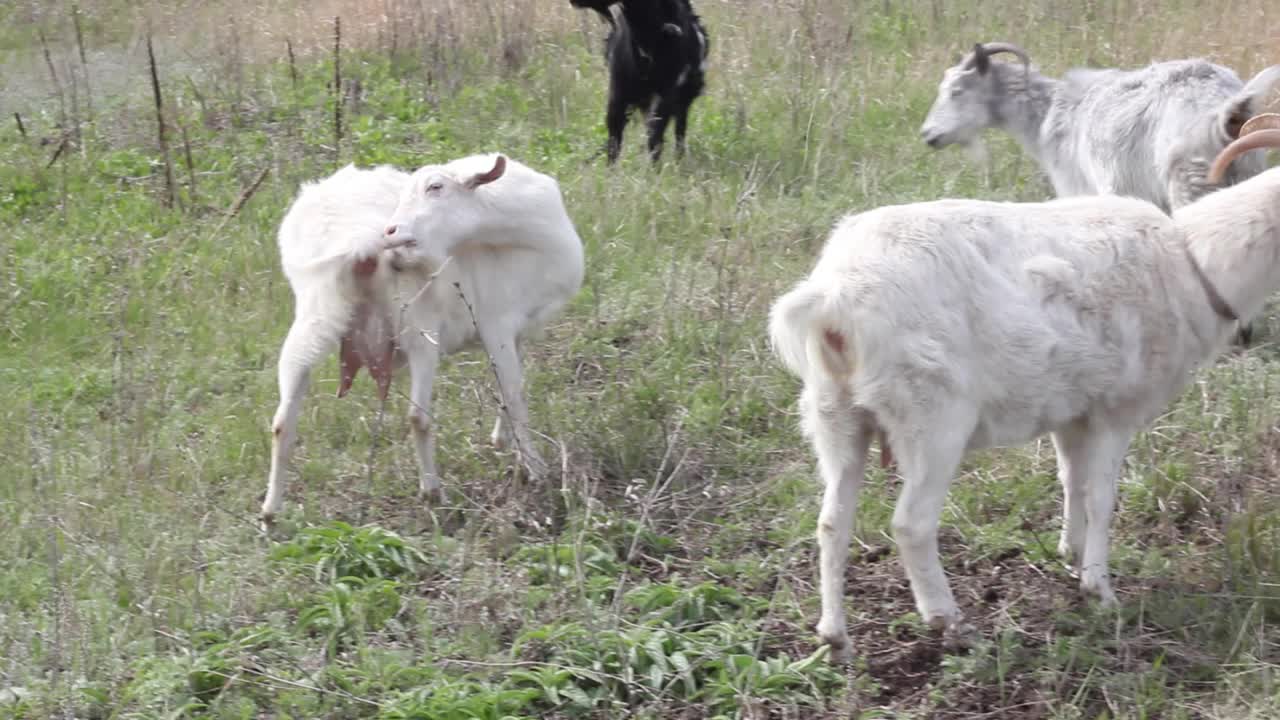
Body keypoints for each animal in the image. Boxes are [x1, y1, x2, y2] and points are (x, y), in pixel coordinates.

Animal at [264, 152, 586, 520]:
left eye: (435, 187)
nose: (391, 232)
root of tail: (358, 244)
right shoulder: (497, 324)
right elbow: (514, 393)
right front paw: (534, 468)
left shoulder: (513, 332)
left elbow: (506, 391)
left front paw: (501, 440)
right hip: (417, 328)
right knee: (418, 416)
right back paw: (433, 493)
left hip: (313, 317)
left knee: (282, 422)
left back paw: (270, 513)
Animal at [762, 110, 1280, 661]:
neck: (1193, 263)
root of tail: (834, 299)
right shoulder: (1117, 409)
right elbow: (1102, 497)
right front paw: (1100, 591)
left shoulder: (1073, 411)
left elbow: (1072, 481)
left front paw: (1071, 553)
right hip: (931, 417)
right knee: (911, 523)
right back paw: (947, 619)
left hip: (834, 414)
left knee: (831, 522)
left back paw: (834, 636)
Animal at [916, 42, 1274, 345]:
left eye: (957, 91)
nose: (928, 135)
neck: (1049, 115)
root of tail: (1225, 110)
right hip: (1243, 171)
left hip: (1191, 180)